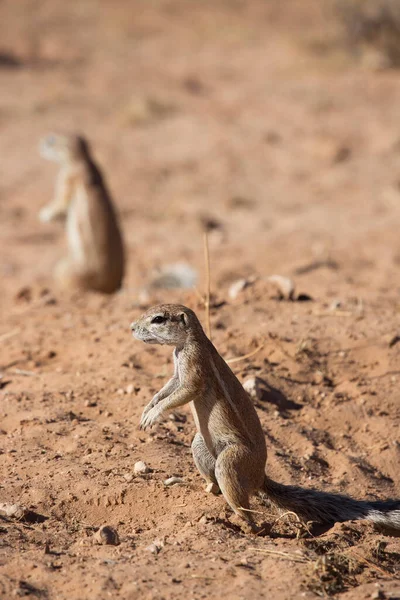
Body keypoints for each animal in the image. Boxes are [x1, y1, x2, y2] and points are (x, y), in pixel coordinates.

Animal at [40, 132, 125, 294]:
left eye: (52, 140)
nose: (41, 143)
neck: (83, 161)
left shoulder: (66, 177)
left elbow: (61, 202)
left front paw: (45, 214)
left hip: (65, 269)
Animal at [131, 302, 400, 532]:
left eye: (158, 319)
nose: (132, 327)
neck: (185, 344)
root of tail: (259, 477)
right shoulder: (177, 372)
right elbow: (167, 388)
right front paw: (148, 407)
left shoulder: (194, 366)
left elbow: (184, 392)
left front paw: (154, 414)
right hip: (200, 444)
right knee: (215, 486)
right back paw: (196, 486)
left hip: (231, 461)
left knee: (243, 504)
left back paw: (247, 524)